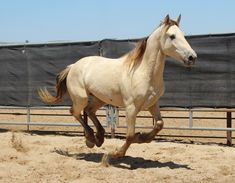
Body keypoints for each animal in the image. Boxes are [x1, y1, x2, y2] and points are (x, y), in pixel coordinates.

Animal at [39, 14, 196, 163]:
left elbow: (159, 124)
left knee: (89, 111)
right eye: (172, 36)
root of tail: (72, 66)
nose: (192, 57)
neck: (143, 72)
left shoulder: (152, 104)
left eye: (183, 35)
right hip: (81, 98)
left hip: (100, 98)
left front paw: (143, 137)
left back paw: (98, 138)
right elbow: (130, 135)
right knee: (75, 112)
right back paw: (91, 138)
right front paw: (115, 154)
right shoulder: (131, 108)